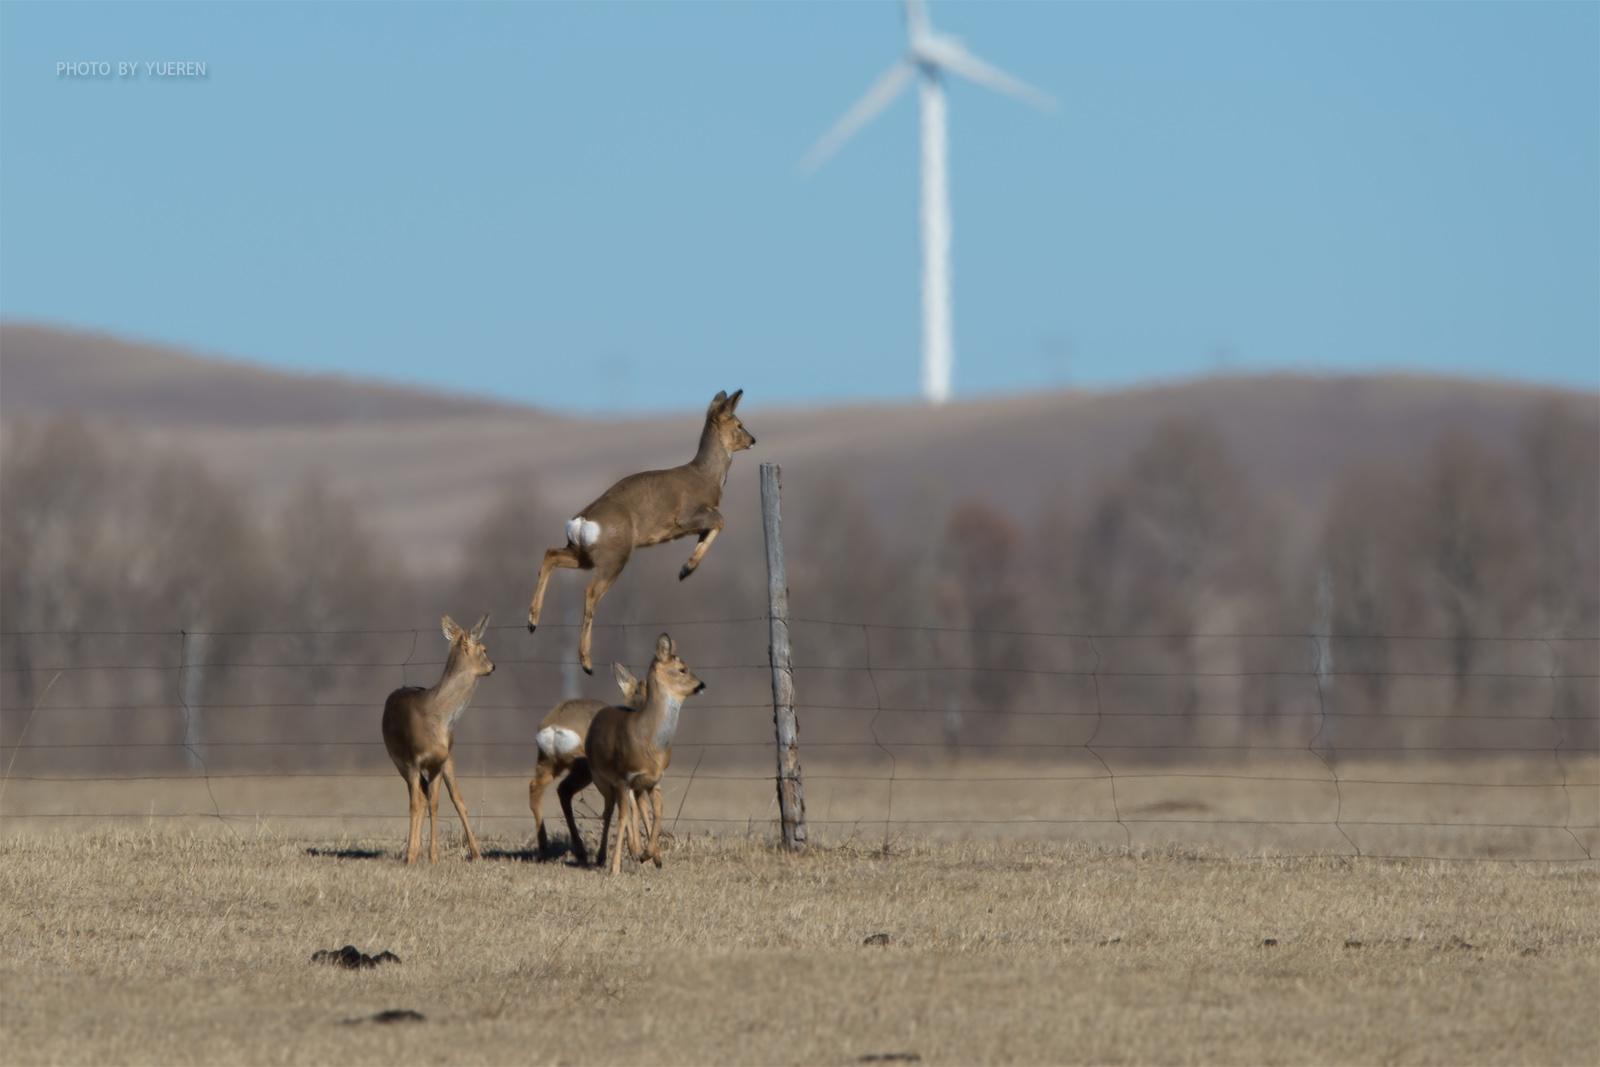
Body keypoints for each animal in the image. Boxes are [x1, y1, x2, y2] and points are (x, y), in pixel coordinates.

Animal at [382, 614, 492, 863]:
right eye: (484, 649)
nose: (493, 666)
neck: (438, 716)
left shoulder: (439, 761)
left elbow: (435, 803)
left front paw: (434, 857)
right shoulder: (412, 761)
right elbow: (416, 804)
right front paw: (413, 856)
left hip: (447, 759)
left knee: (454, 799)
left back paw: (476, 853)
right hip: (397, 761)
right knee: (419, 798)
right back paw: (412, 853)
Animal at [521, 388, 752, 671]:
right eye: (739, 424)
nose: (752, 439)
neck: (707, 477)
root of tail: (582, 520)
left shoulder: (692, 527)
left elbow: (710, 531)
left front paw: (685, 568)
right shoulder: (687, 516)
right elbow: (721, 520)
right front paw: (686, 569)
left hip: (584, 554)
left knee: (550, 554)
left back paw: (533, 621)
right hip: (615, 555)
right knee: (590, 592)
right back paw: (586, 661)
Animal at [528, 668, 646, 870]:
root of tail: (554, 727)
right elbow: (632, 804)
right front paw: (636, 851)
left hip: (548, 762)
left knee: (541, 788)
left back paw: (550, 851)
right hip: (585, 768)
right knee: (565, 790)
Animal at [585, 633, 704, 876]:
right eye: (683, 669)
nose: (701, 685)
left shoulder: (653, 780)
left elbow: (656, 811)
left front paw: (651, 855)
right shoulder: (624, 778)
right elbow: (623, 817)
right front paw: (616, 867)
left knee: (634, 808)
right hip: (600, 778)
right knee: (609, 811)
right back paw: (602, 857)